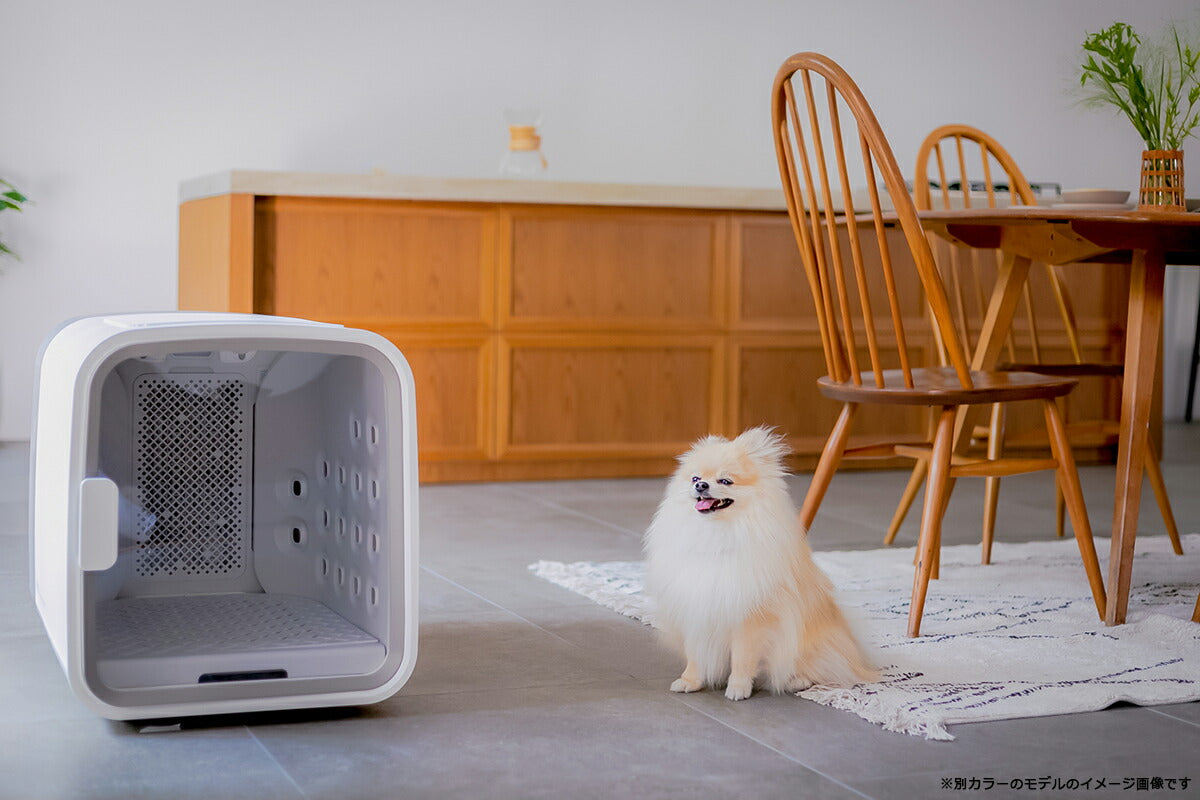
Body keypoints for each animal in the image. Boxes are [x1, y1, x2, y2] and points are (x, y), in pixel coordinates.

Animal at [643, 429, 878, 695]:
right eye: (695, 478)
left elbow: (742, 658)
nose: (701, 485)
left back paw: (797, 680)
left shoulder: (751, 617)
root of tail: (857, 655)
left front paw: (738, 687)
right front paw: (690, 681)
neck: (717, 535)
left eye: (725, 481)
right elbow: (696, 654)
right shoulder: (695, 609)